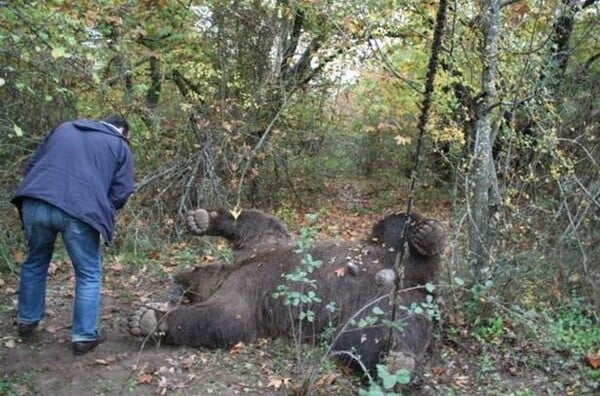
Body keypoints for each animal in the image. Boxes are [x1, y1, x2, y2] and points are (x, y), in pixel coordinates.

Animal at [127, 207, 446, 378]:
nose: (177, 278)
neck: (233, 269)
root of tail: (408, 283)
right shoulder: (247, 289)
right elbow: (224, 320)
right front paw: (146, 318)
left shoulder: (259, 250)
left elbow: (259, 222)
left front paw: (201, 219)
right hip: (371, 312)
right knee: (366, 341)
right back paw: (398, 360)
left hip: (381, 253)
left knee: (395, 226)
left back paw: (428, 235)